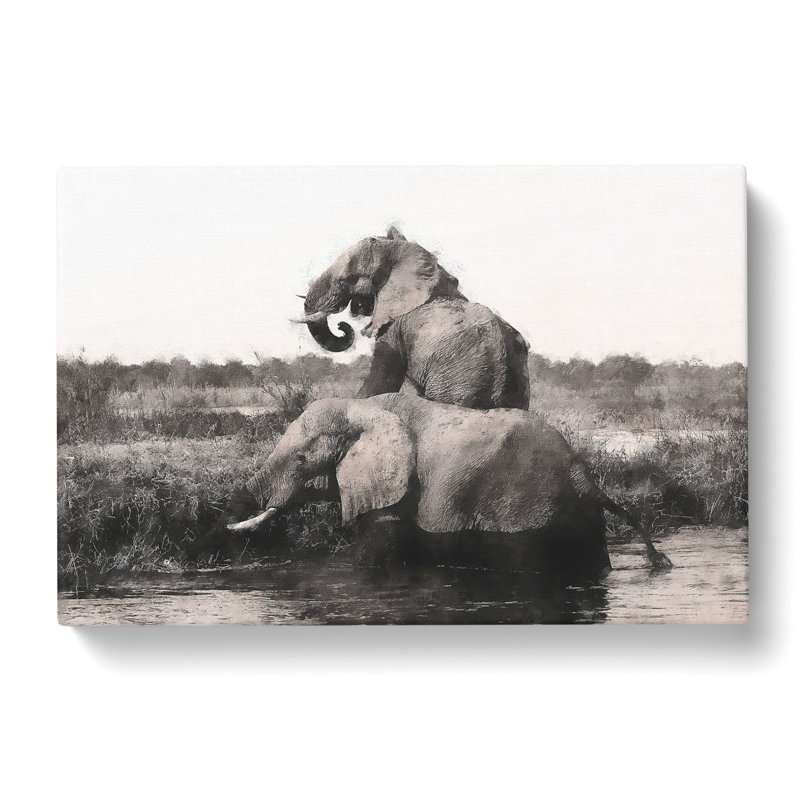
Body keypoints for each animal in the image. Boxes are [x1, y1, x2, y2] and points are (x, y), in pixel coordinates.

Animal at [225, 394, 672, 577]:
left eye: (302, 461)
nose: (223, 524)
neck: (363, 407)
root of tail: (583, 474)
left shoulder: (399, 488)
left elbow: (374, 551)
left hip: (526, 509)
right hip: (576, 514)